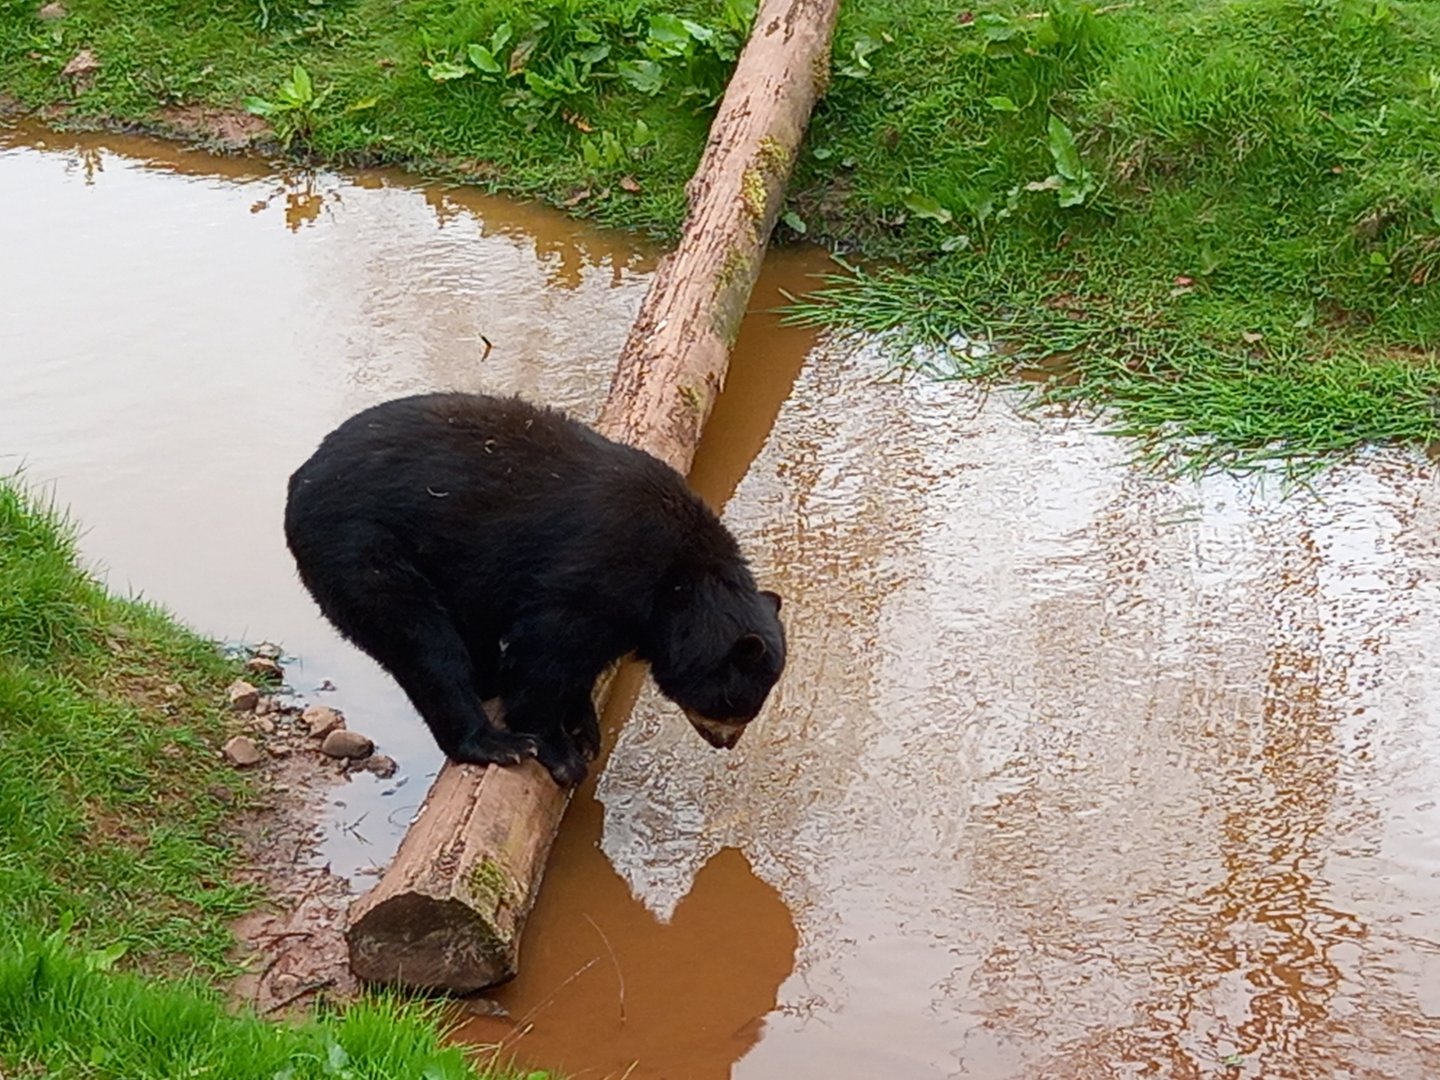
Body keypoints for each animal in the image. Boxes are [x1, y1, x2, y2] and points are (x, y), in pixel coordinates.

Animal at [283, 391, 786, 787]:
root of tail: (298, 481)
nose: (725, 743)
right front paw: (558, 751)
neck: (681, 585)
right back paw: (494, 743)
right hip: (363, 555)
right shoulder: (598, 576)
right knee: (423, 645)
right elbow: (545, 658)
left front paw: (582, 723)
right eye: (735, 705)